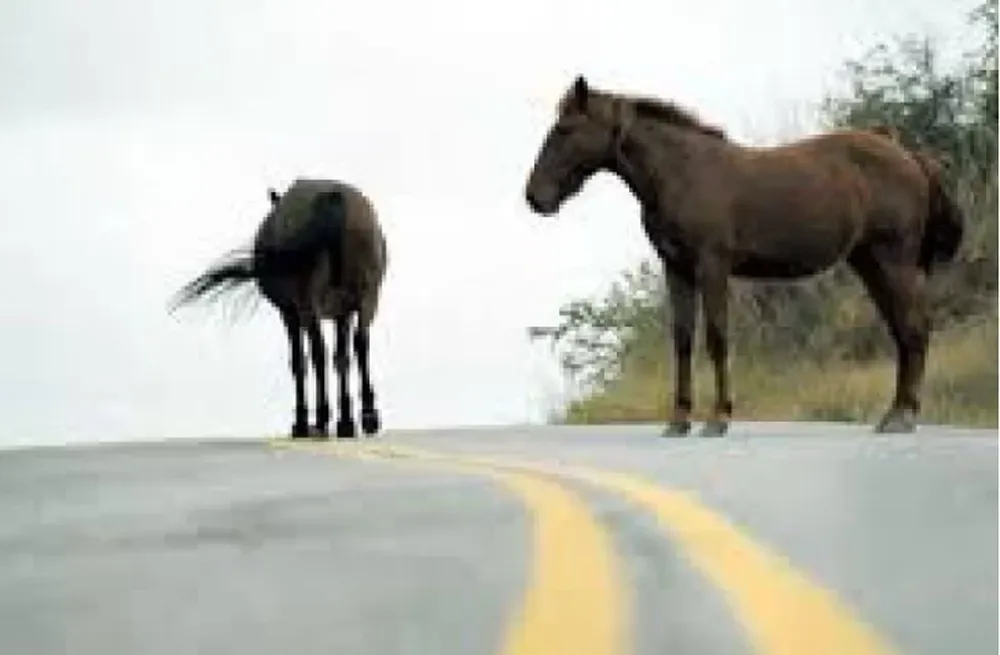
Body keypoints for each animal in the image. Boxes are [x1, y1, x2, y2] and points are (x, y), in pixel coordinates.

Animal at [170, 178, 388, 440]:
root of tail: (333, 197)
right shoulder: (342, 312)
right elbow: (342, 358)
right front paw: (346, 420)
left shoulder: (290, 313)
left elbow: (298, 361)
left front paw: (302, 421)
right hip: (368, 296)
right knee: (360, 343)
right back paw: (368, 415)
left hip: (308, 304)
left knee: (317, 352)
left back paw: (320, 419)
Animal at [524, 75, 964, 436]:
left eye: (565, 129)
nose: (535, 197)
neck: (683, 172)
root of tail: (910, 156)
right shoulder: (677, 269)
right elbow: (683, 340)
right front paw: (679, 420)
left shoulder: (712, 267)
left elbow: (717, 337)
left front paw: (719, 418)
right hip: (870, 263)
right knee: (903, 331)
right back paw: (897, 413)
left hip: (894, 261)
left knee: (914, 330)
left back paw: (901, 416)